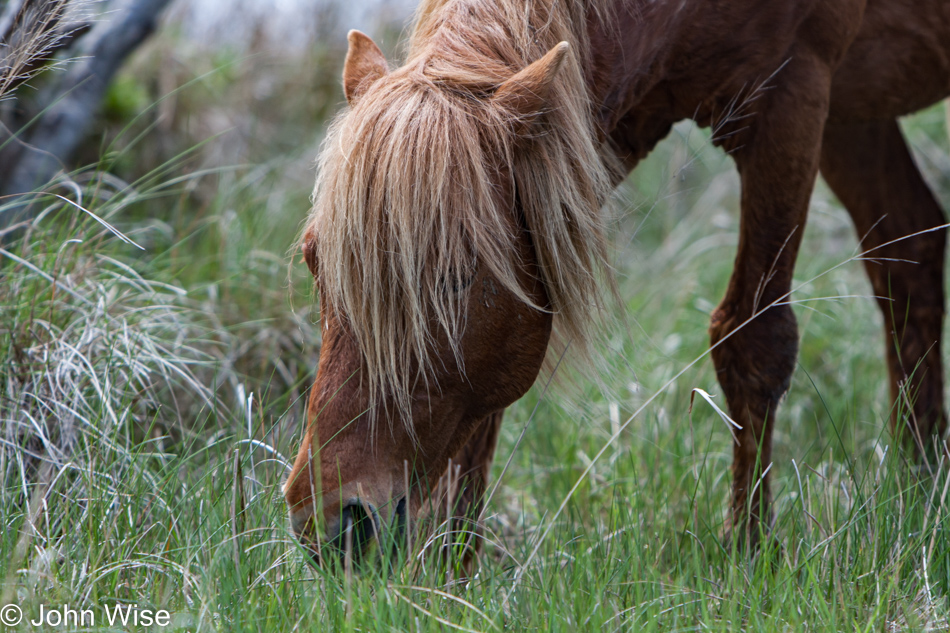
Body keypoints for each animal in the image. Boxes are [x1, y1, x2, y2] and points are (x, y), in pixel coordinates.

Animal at [282, 0, 950, 564]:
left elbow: (753, 341)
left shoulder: (792, 97)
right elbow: (481, 413)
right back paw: (918, 486)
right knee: (911, 256)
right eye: (315, 261)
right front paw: (452, 574)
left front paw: (747, 555)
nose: (329, 516)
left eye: (452, 278)